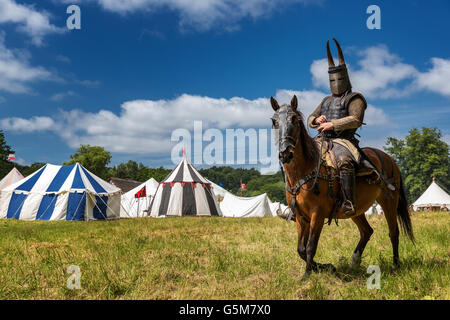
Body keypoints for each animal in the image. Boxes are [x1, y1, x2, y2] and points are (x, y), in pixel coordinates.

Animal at [268, 94, 414, 278]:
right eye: (274, 121)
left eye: (294, 119)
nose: (285, 153)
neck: (303, 170)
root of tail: (390, 159)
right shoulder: (301, 216)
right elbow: (300, 249)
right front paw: (324, 267)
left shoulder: (317, 214)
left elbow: (310, 247)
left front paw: (308, 275)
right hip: (356, 209)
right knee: (367, 231)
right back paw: (354, 261)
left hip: (389, 201)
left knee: (393, 232)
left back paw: (395, 265)